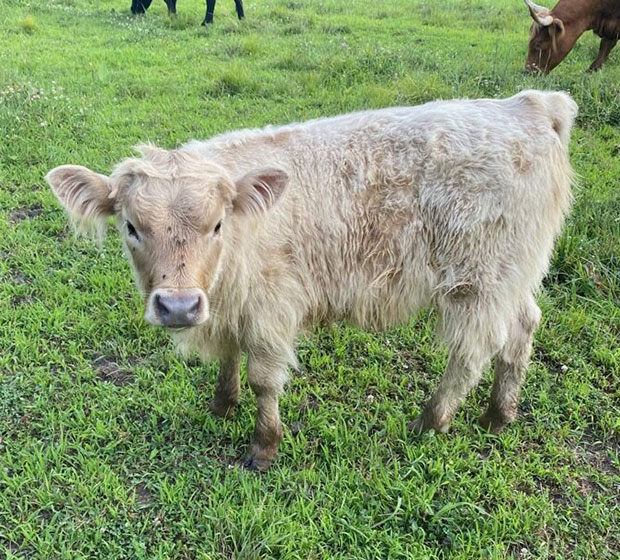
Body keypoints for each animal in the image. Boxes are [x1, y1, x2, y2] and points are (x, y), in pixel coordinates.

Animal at [47, 92, 576, 472]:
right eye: (131, 227)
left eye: (217, 225)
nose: (177, 306)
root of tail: (530, 104)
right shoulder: (231, 307)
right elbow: (229, 358)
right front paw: (222, 404)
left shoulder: (271, 307)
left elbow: (263, 380)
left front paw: (263, 447)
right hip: (512, 276)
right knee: (523, 327)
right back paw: (499, 415)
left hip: (477, 281)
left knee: (471, 352)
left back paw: (430, 421)